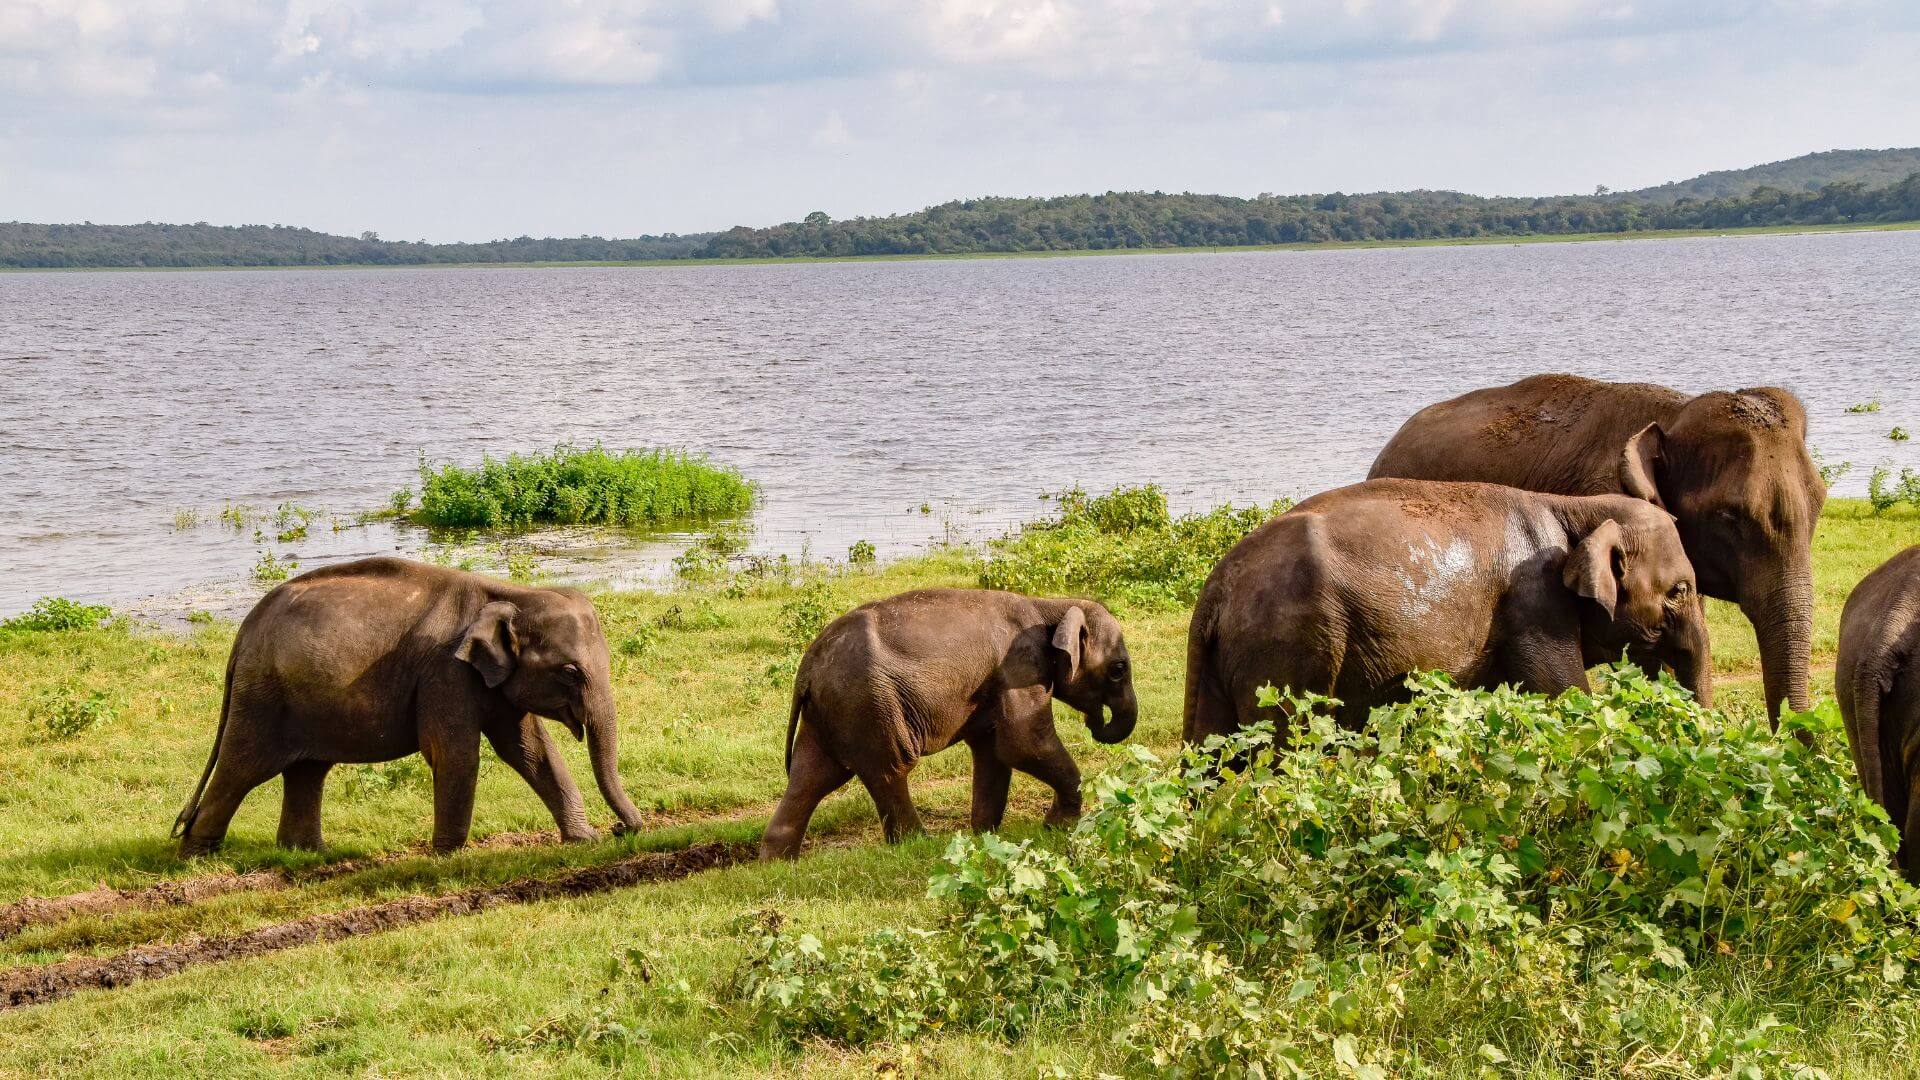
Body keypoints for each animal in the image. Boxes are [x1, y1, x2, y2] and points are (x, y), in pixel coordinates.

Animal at [174, 556, 646, 856]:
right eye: (569, 672)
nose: (623, 830)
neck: (510, 593)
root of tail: (243, 633)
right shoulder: (444, 671)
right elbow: (455, 754)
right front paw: (448, 856)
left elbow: (531, 751)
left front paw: (583, 842)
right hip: (263, 697)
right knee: (244, 767)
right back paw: (198, 854)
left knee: (307, 770)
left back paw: (308, 855)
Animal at [760, 588, 1138, 860]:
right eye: (1119, 669)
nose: (1094, 723)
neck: (1051, 605)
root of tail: (807, 667)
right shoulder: (1021, 667)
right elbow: (1023, 744)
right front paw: (1057, 827)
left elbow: (994, 752)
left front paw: (984, 835)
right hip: (868, 704)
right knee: (889, 770)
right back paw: (917, 845)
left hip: (833, 711)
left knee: (812, 776)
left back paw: (777, 862)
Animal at [1183, 479, 1712, 742]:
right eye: (1680, 590)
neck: (1574, 507)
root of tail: (1214, 593)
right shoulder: (1535, 605)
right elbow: (1564, 696)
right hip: (1290, 651)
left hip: (1222, 665)